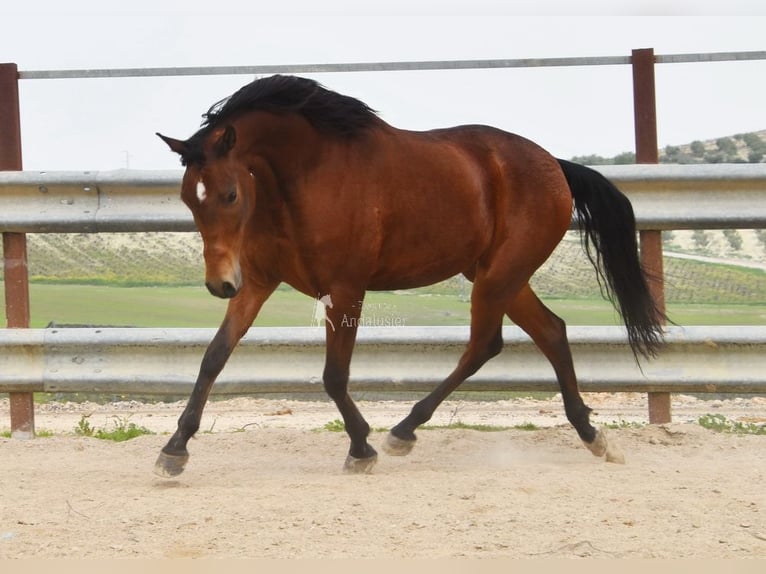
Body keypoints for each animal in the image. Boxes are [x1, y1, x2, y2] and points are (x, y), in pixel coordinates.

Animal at [155, 74, 664, 477]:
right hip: (501, 276)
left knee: (486, 344)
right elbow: (214, 358)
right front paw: (174, 450)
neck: (309, 176)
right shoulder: (258, 284)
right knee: (550, 332)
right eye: (187, 197)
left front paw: (361, 448)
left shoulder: (345, 289)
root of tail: (556, 165)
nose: (219, 284)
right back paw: (593, 436)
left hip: (499, 275)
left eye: (230, 193)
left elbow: (334, 375)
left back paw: (402, 432)